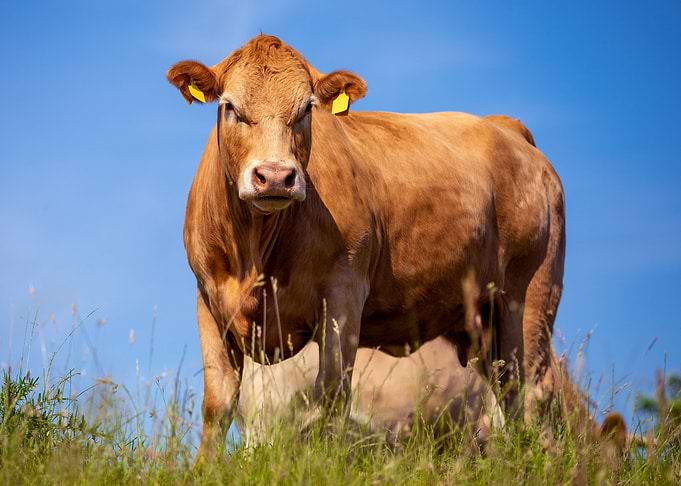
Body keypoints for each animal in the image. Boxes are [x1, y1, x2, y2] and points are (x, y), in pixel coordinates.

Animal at [166, 34, 618, 458]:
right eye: (230, 107)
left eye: (307, 109)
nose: (275, 176)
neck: (256, 254)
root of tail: (505, 126)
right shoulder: (208, 299)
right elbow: (219, 404)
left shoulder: (344, 294)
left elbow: (331, 394)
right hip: (483, 322)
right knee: (509, 393)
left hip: (531, 295)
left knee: (534, 391)